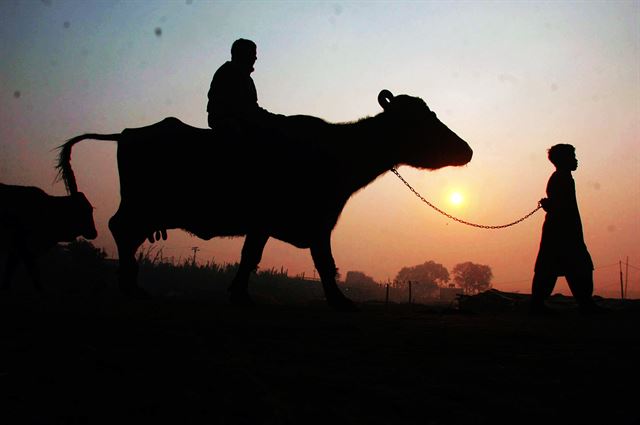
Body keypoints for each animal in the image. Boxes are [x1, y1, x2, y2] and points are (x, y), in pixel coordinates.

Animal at [58, 89, 470, 310]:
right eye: (422, 119)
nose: (466, 150)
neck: (335, 151)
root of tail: (127, 132)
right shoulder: (305, 222)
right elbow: (319, 263)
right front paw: (340, 301)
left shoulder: (285, 224)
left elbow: (256, 258)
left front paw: (239, 294)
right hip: (141, 204)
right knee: (120, 229)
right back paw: (130, 286)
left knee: (125, 234)